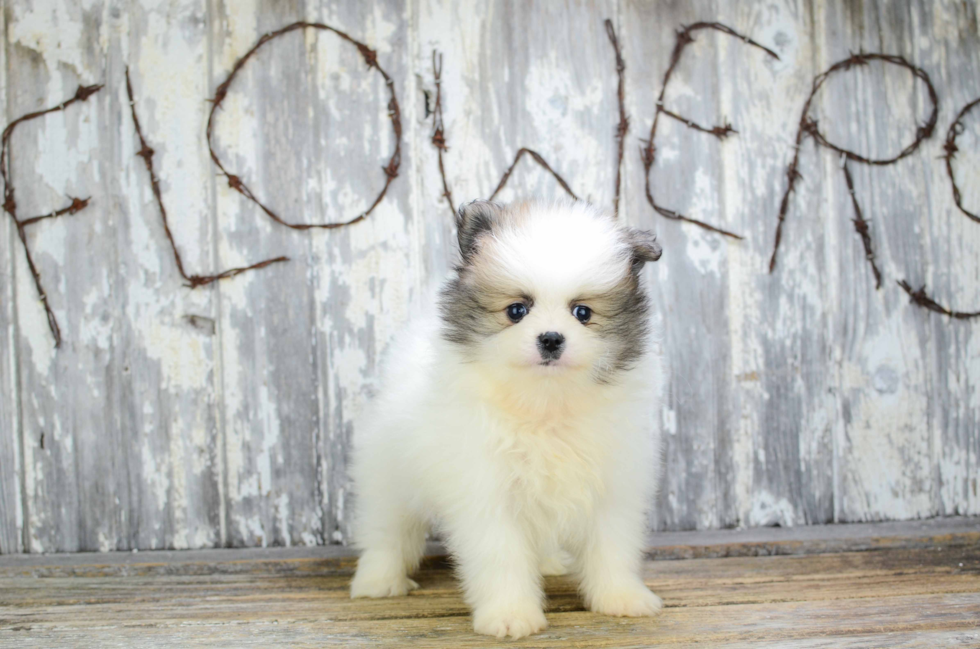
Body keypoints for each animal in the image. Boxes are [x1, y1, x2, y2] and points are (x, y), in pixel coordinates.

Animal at [350, 199, 668, 636]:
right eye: (517, 310)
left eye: (582, 312)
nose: (550, 339)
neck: (545, 404)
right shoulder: (486, 493)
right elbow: (501, 558)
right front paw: (510, 615)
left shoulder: (613, 486)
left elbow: (612, 548)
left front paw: (622, 598)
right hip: (389, 478)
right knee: (387, 531)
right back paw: (378, 582)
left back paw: (549, 564)